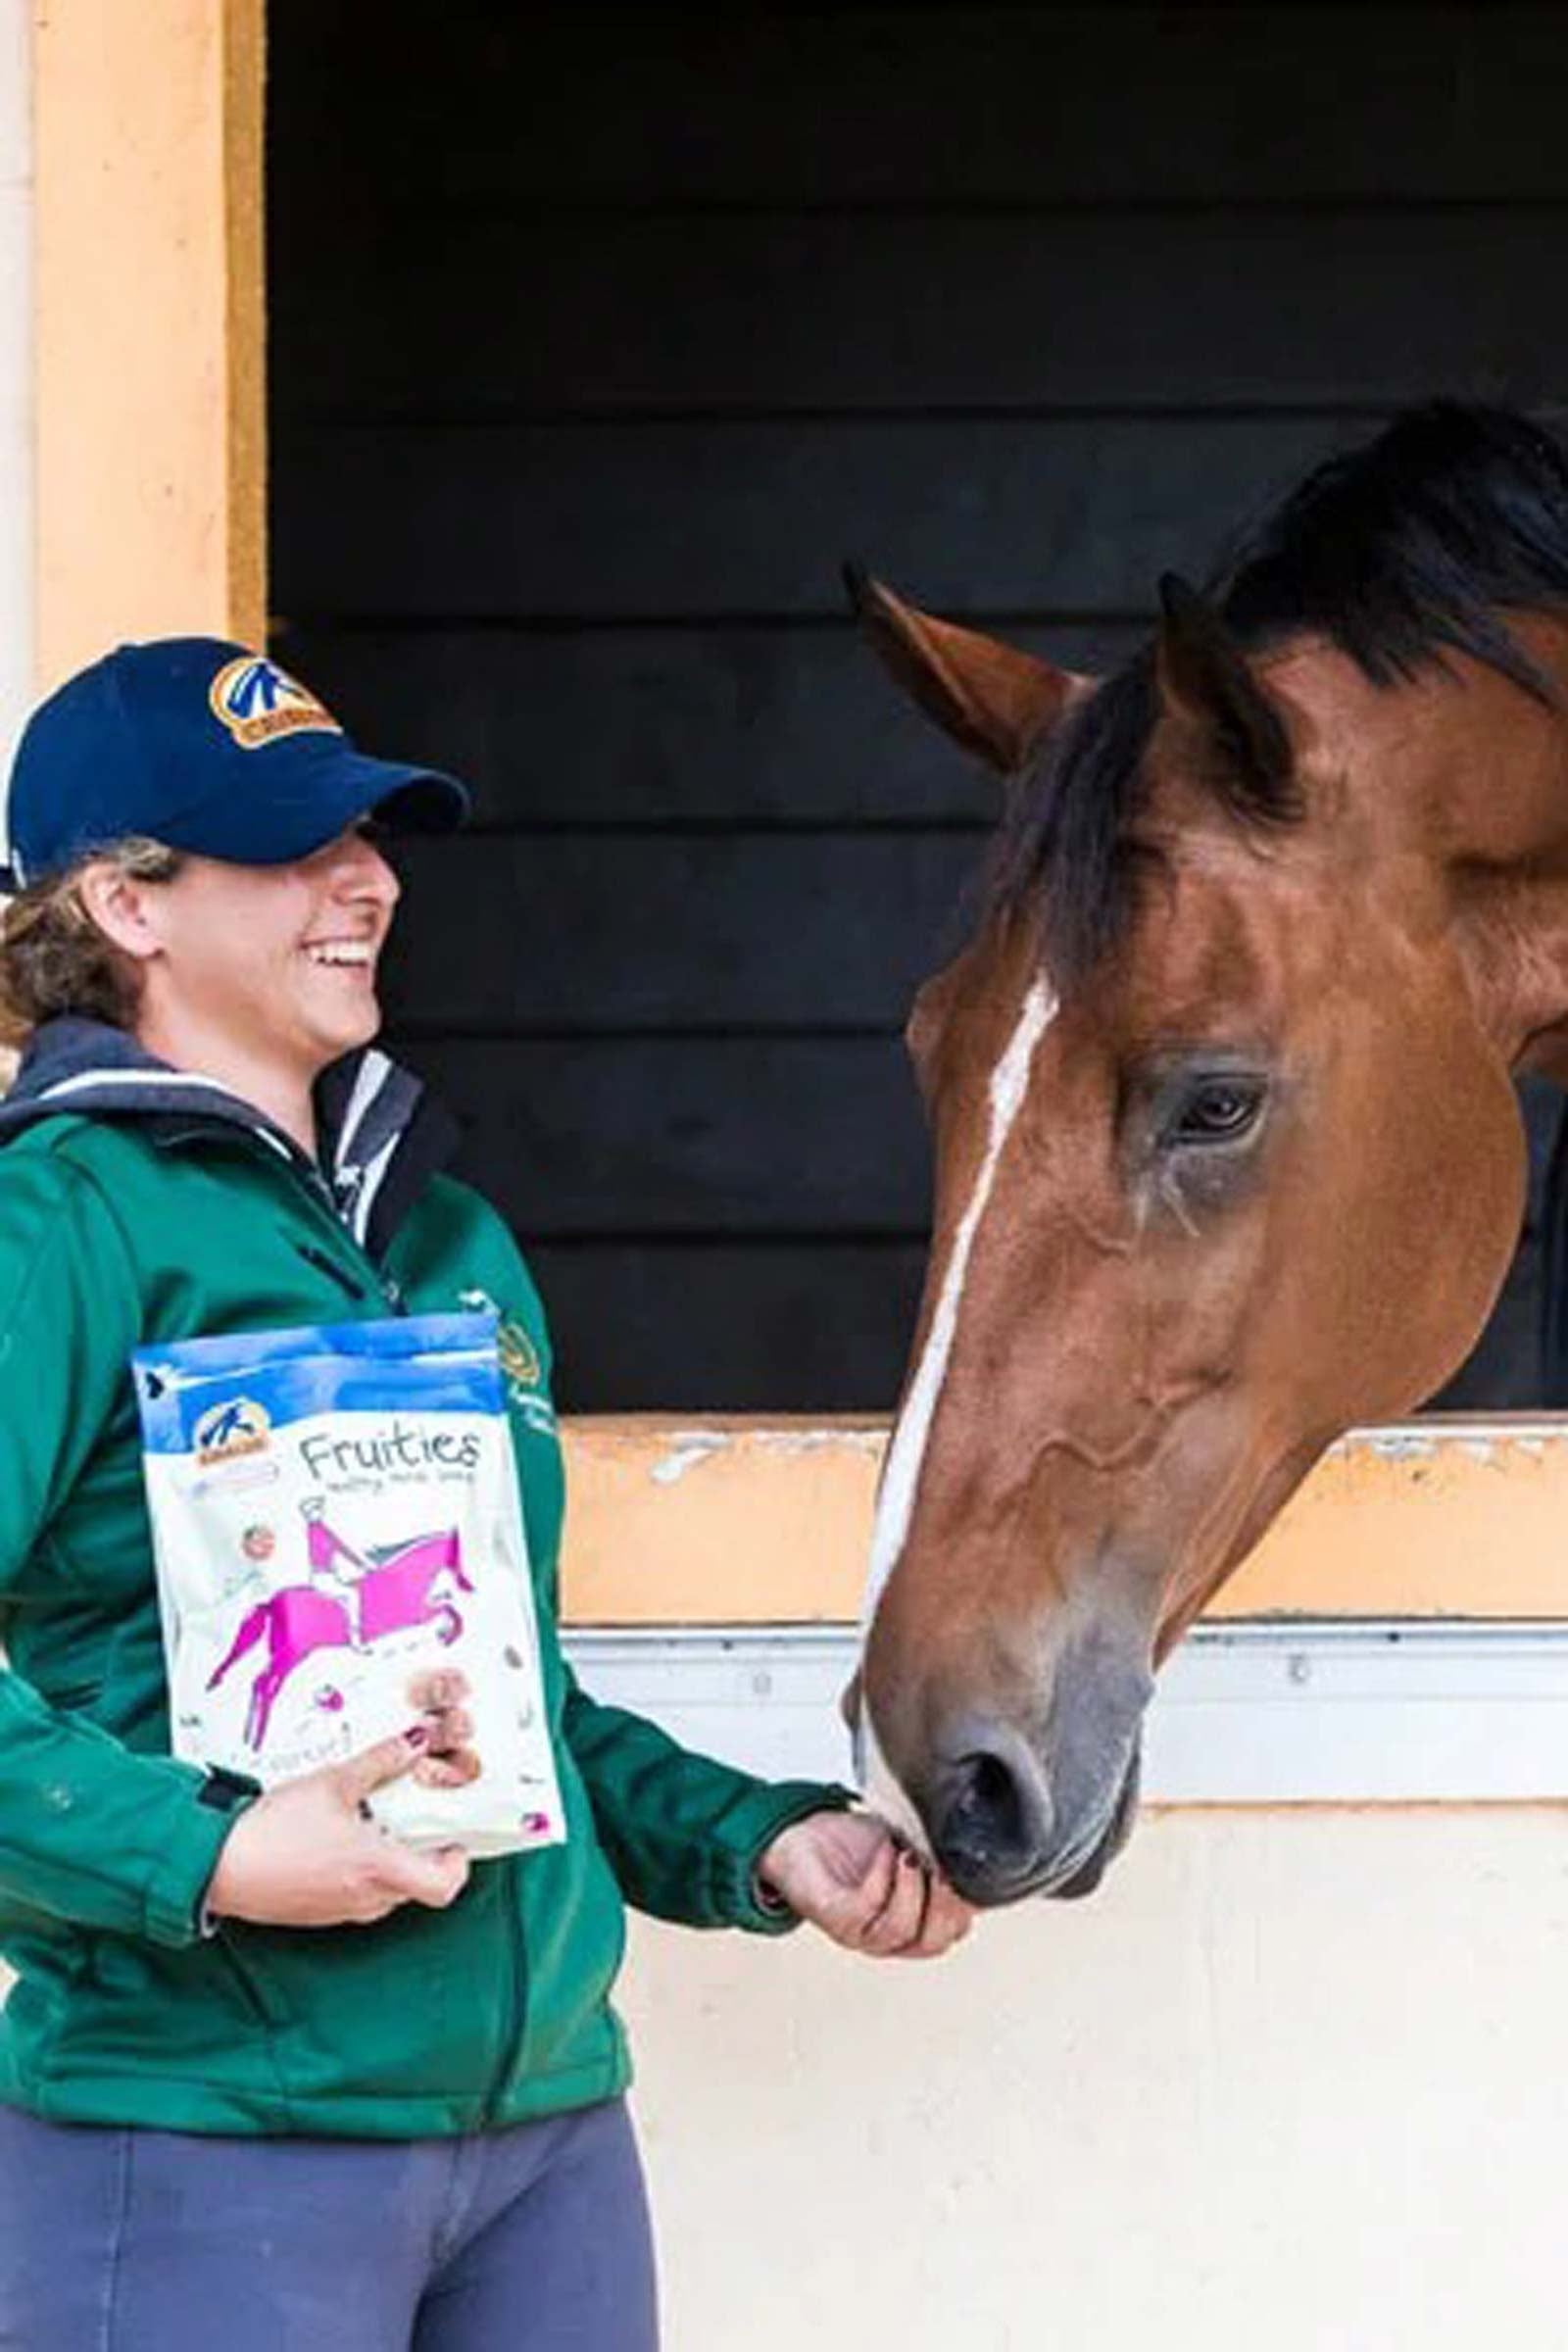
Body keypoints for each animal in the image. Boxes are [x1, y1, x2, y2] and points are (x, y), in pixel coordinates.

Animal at [207, 1526, 473, 1751]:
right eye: (457, 1553)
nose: (468, 1585)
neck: (403, 1575)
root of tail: (273, 1603)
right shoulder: (418, 1615)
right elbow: (449, 1608)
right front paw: (447, 1636)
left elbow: (446, 1604)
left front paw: (445, 1633)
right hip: (292, 1655)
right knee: (265, 1685)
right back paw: (256, 1741)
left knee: (259, 1683)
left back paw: (248, 1737)